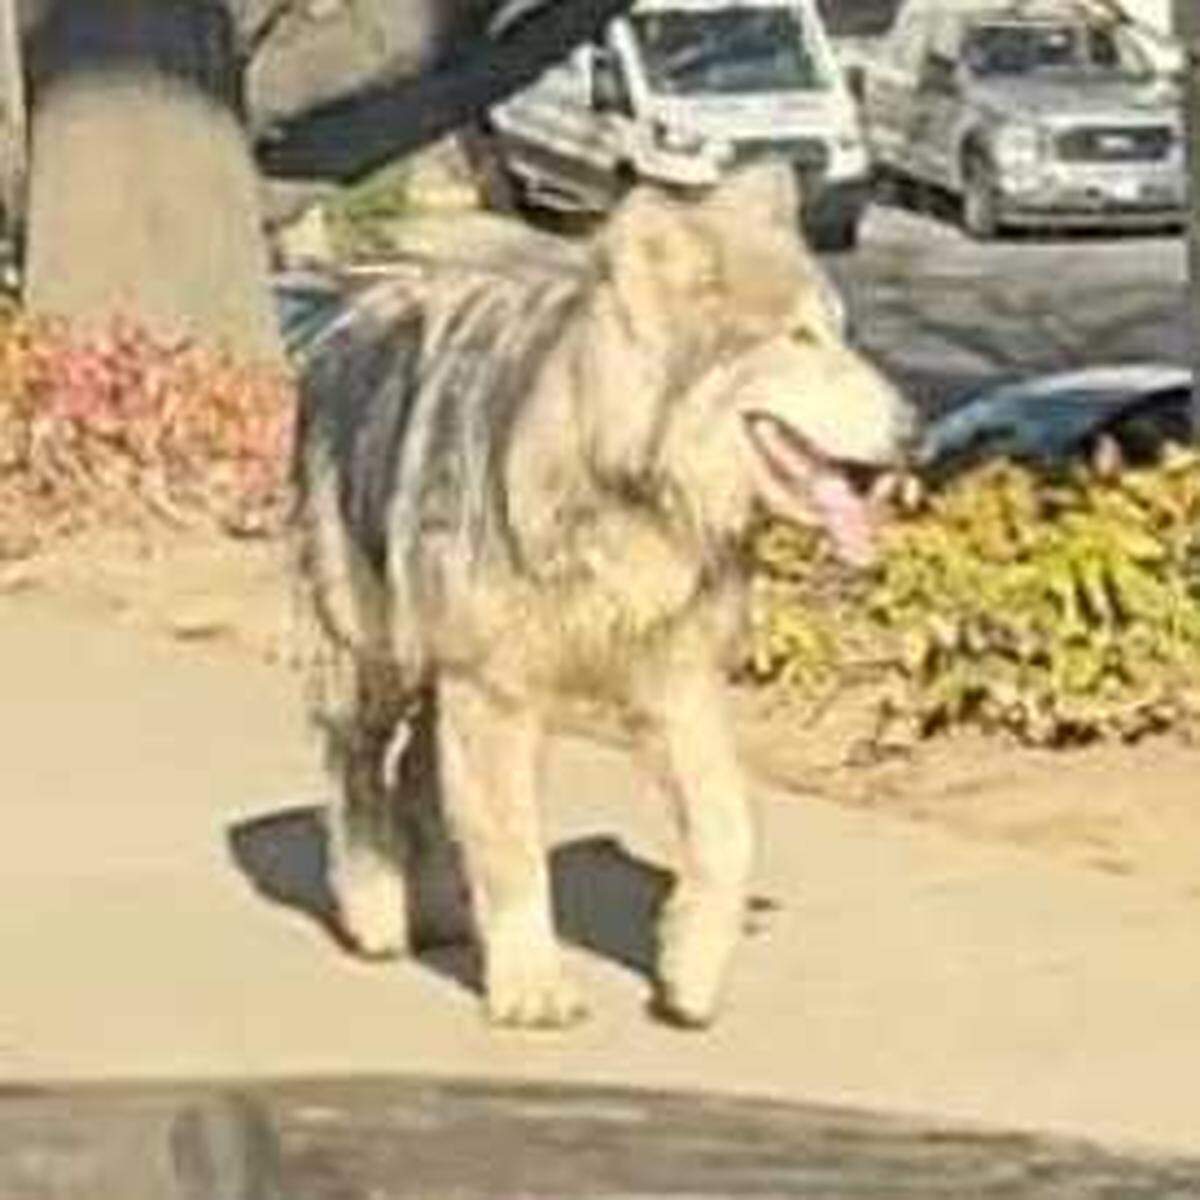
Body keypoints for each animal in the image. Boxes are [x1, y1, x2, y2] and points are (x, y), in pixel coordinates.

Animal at [293, 163, 914, 1029]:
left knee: (419, 778)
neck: (628, 491)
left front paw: (688, 973)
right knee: (358, 775)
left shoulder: (677, 686)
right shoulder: (497, 693)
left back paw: (445, 914)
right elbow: (515, 851)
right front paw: (532, 989)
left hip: (439, 676)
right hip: (377, 662)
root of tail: (351, 306)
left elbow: (729, 834)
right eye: (799, 339)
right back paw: (379, 916)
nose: (916, 429)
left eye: (841, 333)